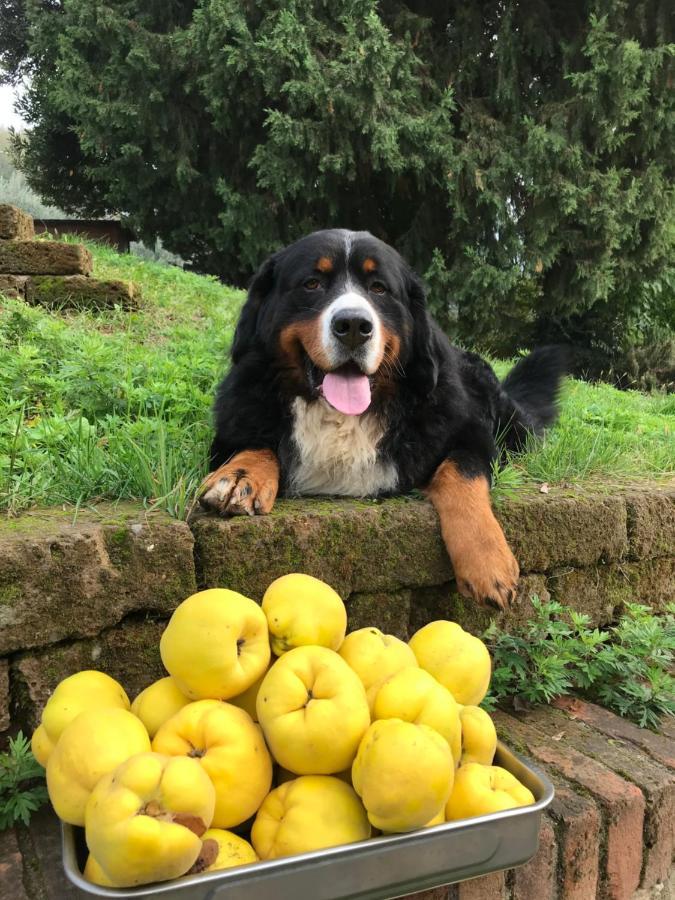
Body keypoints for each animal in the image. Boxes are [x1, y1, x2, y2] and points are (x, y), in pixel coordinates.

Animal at [199, 229, 564, 616]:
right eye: (312, 283)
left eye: (379, 288)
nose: (353, 326)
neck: (343, 416)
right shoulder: (237, 421)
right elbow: (254, 444)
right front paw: (240, 477)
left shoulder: (468, 432)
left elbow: (461, 475)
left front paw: (488, 563)